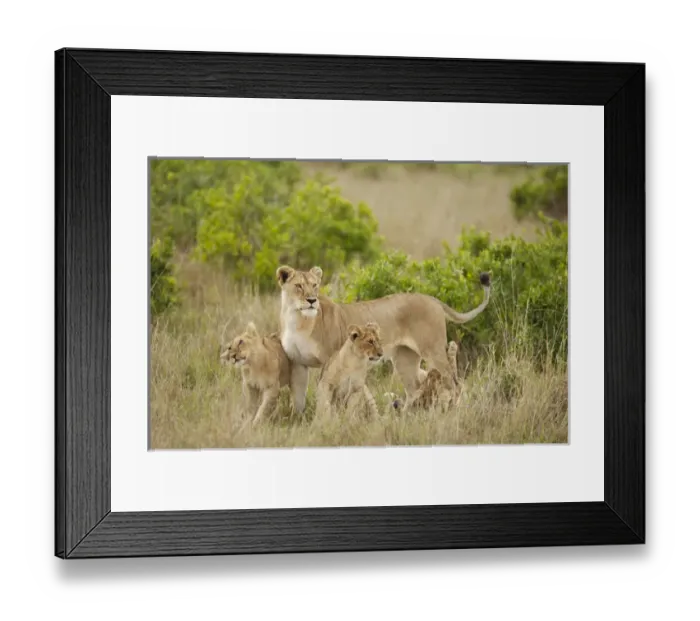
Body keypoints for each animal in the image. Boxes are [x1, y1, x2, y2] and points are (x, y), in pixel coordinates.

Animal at [275, 264, 490, 414]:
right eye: (298, 286)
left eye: (315, 286)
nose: (312, 300)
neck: (297, 319)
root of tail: (432, 298)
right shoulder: (298, 363)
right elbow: (299, 396)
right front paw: (299, 419)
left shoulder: (331, 360)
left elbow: (329, 394)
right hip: (404, 358)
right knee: (414, 389)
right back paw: (403, 419)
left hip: (434, 350)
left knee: (455, 383)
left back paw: (452, 413)